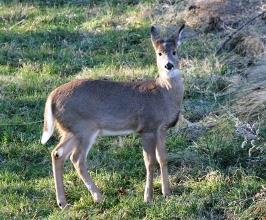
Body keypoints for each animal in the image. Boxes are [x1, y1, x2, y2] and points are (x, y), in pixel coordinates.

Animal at [41, 24, 185, 208]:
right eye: (159, 53)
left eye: (174, 51)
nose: (168, 65)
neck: (163, 94)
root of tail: (51, 97)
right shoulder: (147, 127)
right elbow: (149, 162)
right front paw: (148, 198)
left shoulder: (161, 129)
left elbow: (163, 159)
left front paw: (167, 193)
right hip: (84, 127)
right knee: (77, 159)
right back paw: (98, 197)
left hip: (71, 130)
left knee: (58, 153)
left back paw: (63, 203)